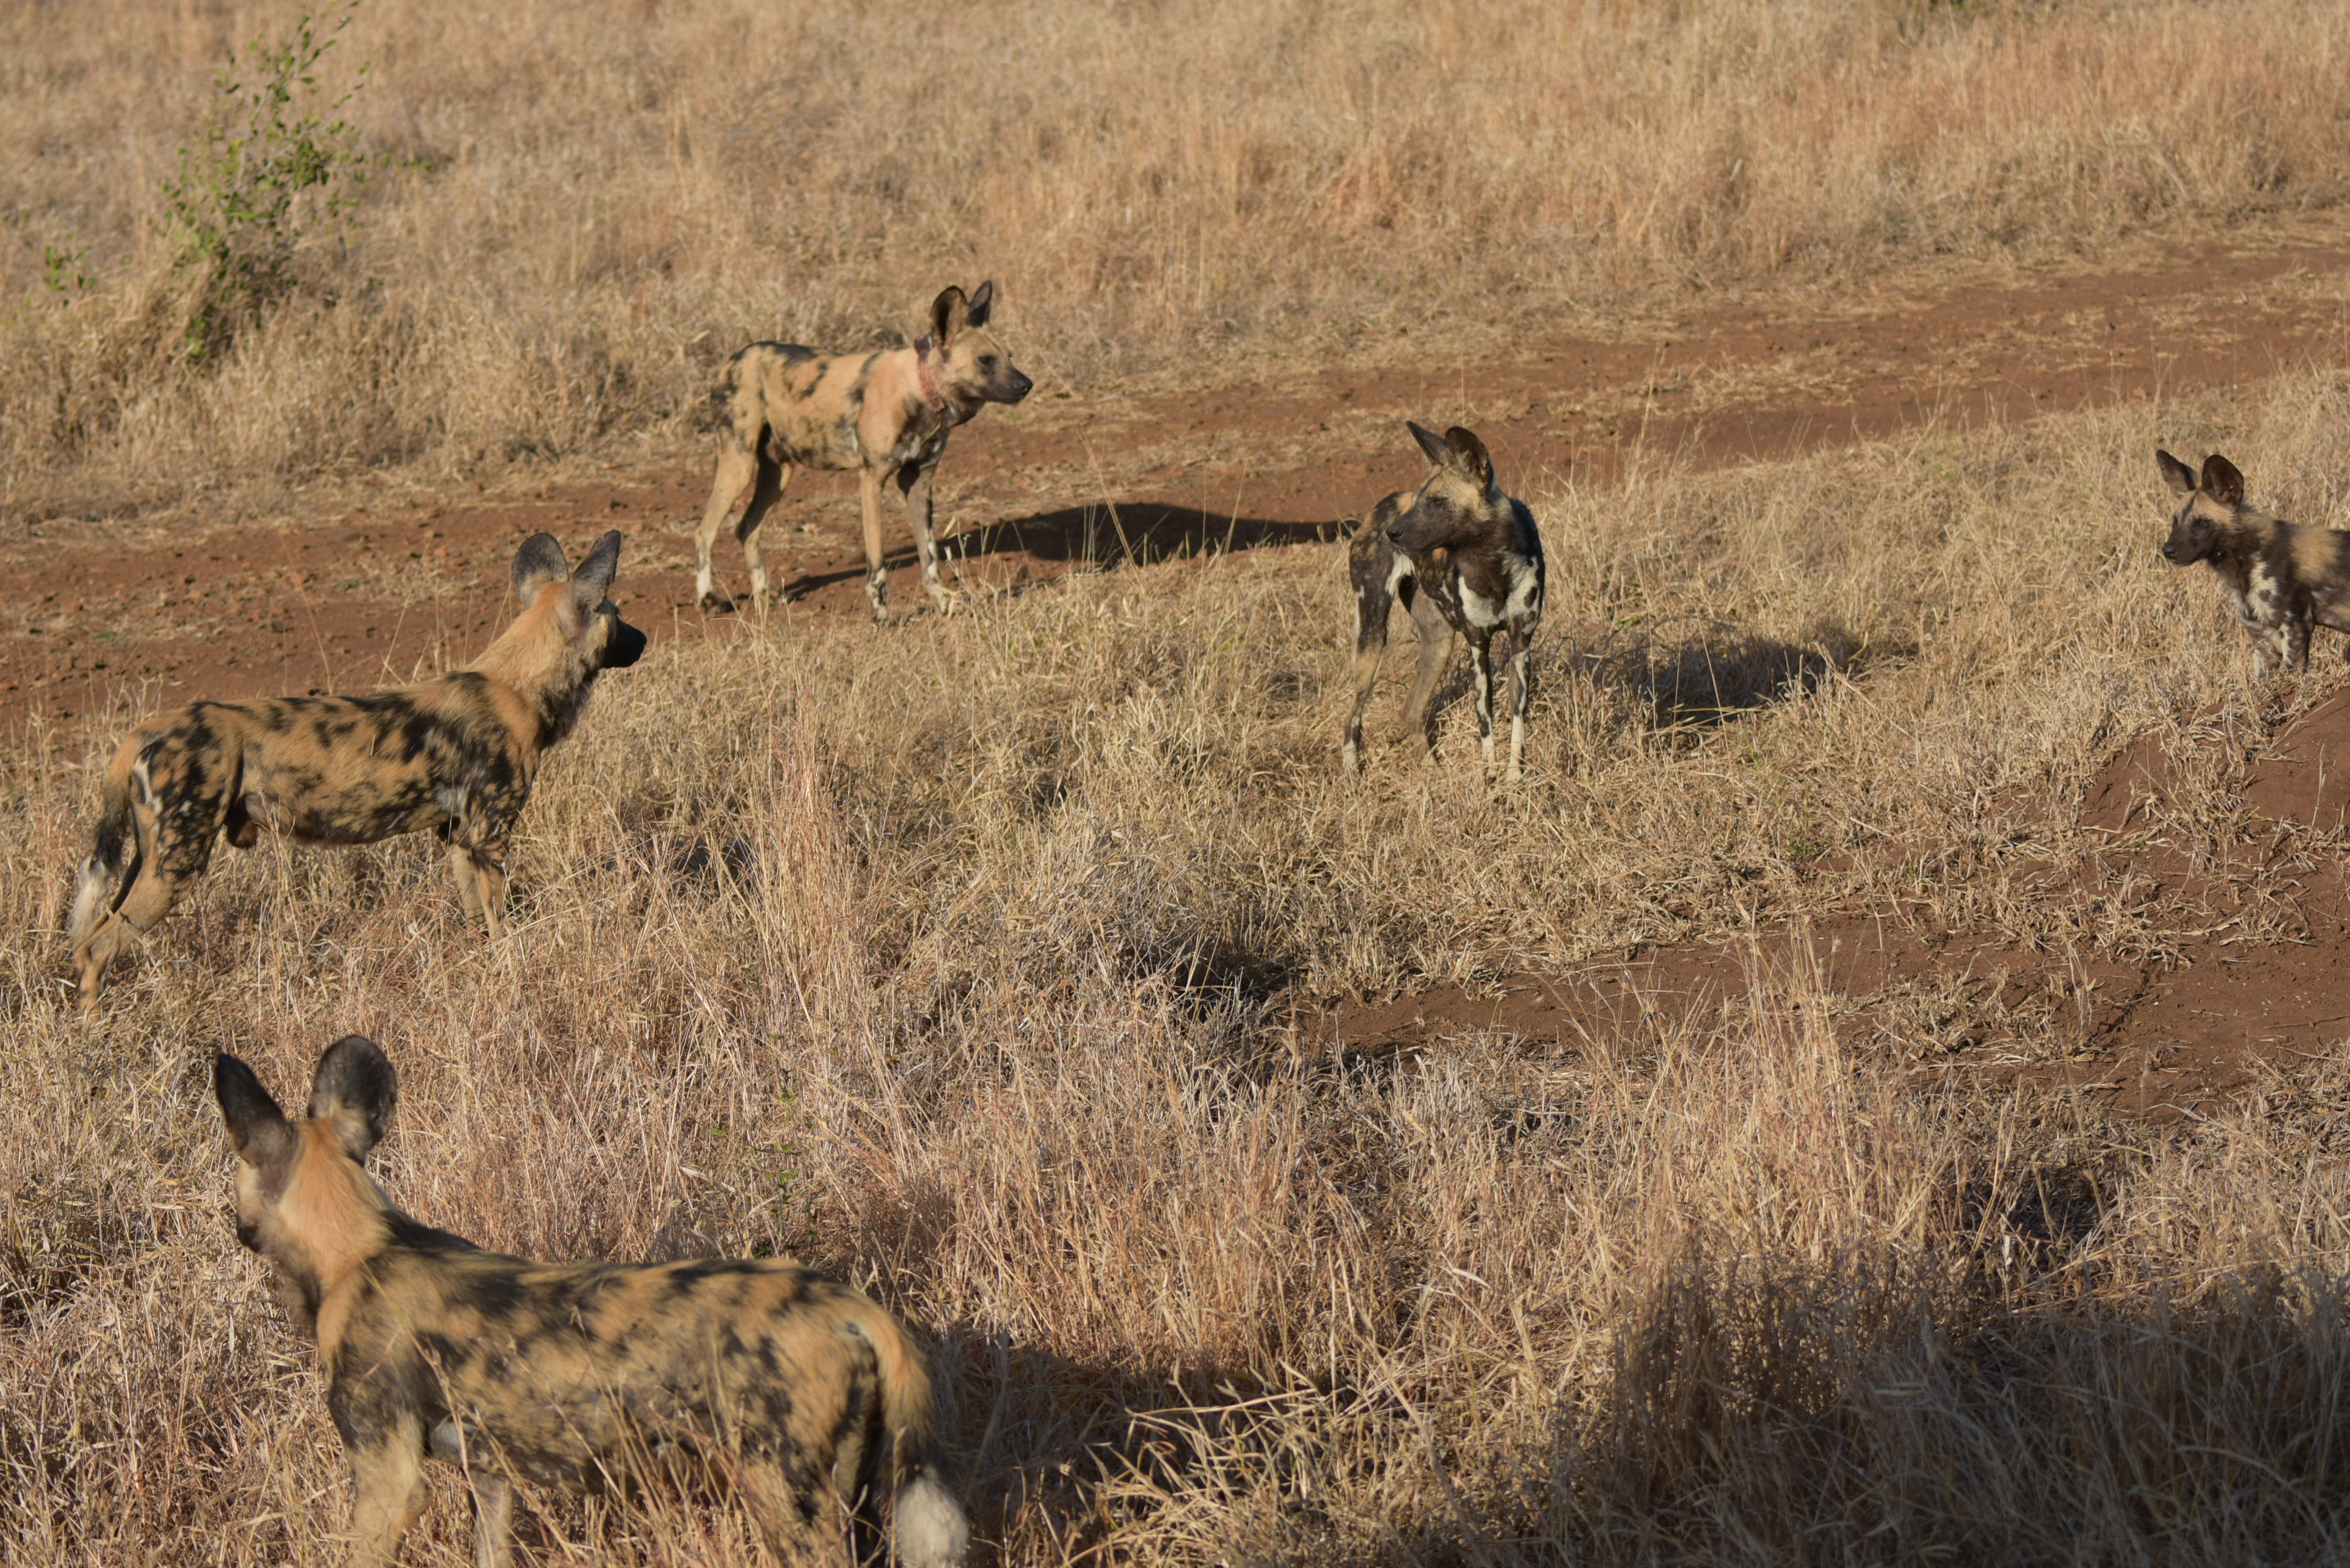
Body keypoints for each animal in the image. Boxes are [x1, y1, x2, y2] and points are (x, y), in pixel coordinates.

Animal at [70, 531, 648, 1006]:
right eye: (618, 616)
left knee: (87, 942)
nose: (644, 640)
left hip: (150, 859)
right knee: (98, 949)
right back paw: (94, 1034)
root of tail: (145, 729)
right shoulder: (490, 839)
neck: (518, 684)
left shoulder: (461, 839)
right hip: (177, 866)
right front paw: (512, 978)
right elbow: (503, 926)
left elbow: (478, 924)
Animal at [211, 1034, 963, 1561]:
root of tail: (850, 1306)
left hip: (783, 1495)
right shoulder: (490, 1477)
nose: (232, 1223)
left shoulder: (388, 1478)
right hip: (854, 1494)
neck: (361, 1248)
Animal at [690, 278, 1034, 620]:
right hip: (740, 466)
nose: (1027, 385)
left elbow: (930, 558)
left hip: (779, 472)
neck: (918, 389)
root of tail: (735, 358)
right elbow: (877, 560)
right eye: (985, 360)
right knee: (705, 531)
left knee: (748, 528)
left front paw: (943, 602)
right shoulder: (872, 480)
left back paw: (764, 594)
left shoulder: (919, 482)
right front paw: (881, 614)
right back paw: (707, 598)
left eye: (1010, 356)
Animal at [1344, 423, 1541, 780]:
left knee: (1410, 709)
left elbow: (1518, 725)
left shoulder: (1521, 646)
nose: (1392, 533)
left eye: (1438, 501)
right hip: (1373, 634)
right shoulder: (1478, 647)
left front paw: (1513, 781)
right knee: (1353, 717)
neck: (1492, 569)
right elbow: (1486, 724)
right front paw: (1490, 781)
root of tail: (1383, 505)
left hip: (1440, 643)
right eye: (1421, 500)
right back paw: (1353, 775)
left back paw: (1431, 771)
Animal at [2152, 451, 2350, 677]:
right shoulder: (2261, 636)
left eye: (2202, 522)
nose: (2168, 551)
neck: (2244, 562)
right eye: (2175, 521)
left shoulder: (2295, 627)